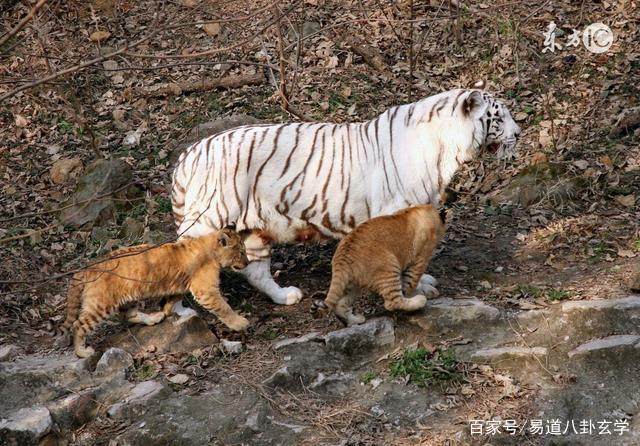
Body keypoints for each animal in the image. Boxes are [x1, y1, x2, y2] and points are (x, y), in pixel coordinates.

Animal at [172, 84, 524, 306]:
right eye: (500, 116)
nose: (520, 134)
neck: (446, 150)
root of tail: (188, 154)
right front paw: (415, 286)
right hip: (208, 220)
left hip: (256, 229)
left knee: (255, 271)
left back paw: (286, 296)